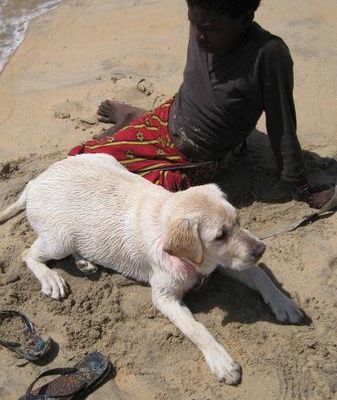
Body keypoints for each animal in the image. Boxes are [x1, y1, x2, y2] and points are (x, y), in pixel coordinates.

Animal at [0, 154, 302, 384]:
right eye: (220, 236)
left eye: (238, 220)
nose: (261, 249)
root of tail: (34, 182)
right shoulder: (164, 297)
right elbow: (196, 328)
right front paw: (221, 361)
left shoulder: (224, 263)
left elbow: (260, 274)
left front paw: (284, 303)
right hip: (60, 237)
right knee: (29, 253)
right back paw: (51, 278)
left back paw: (85, 261)